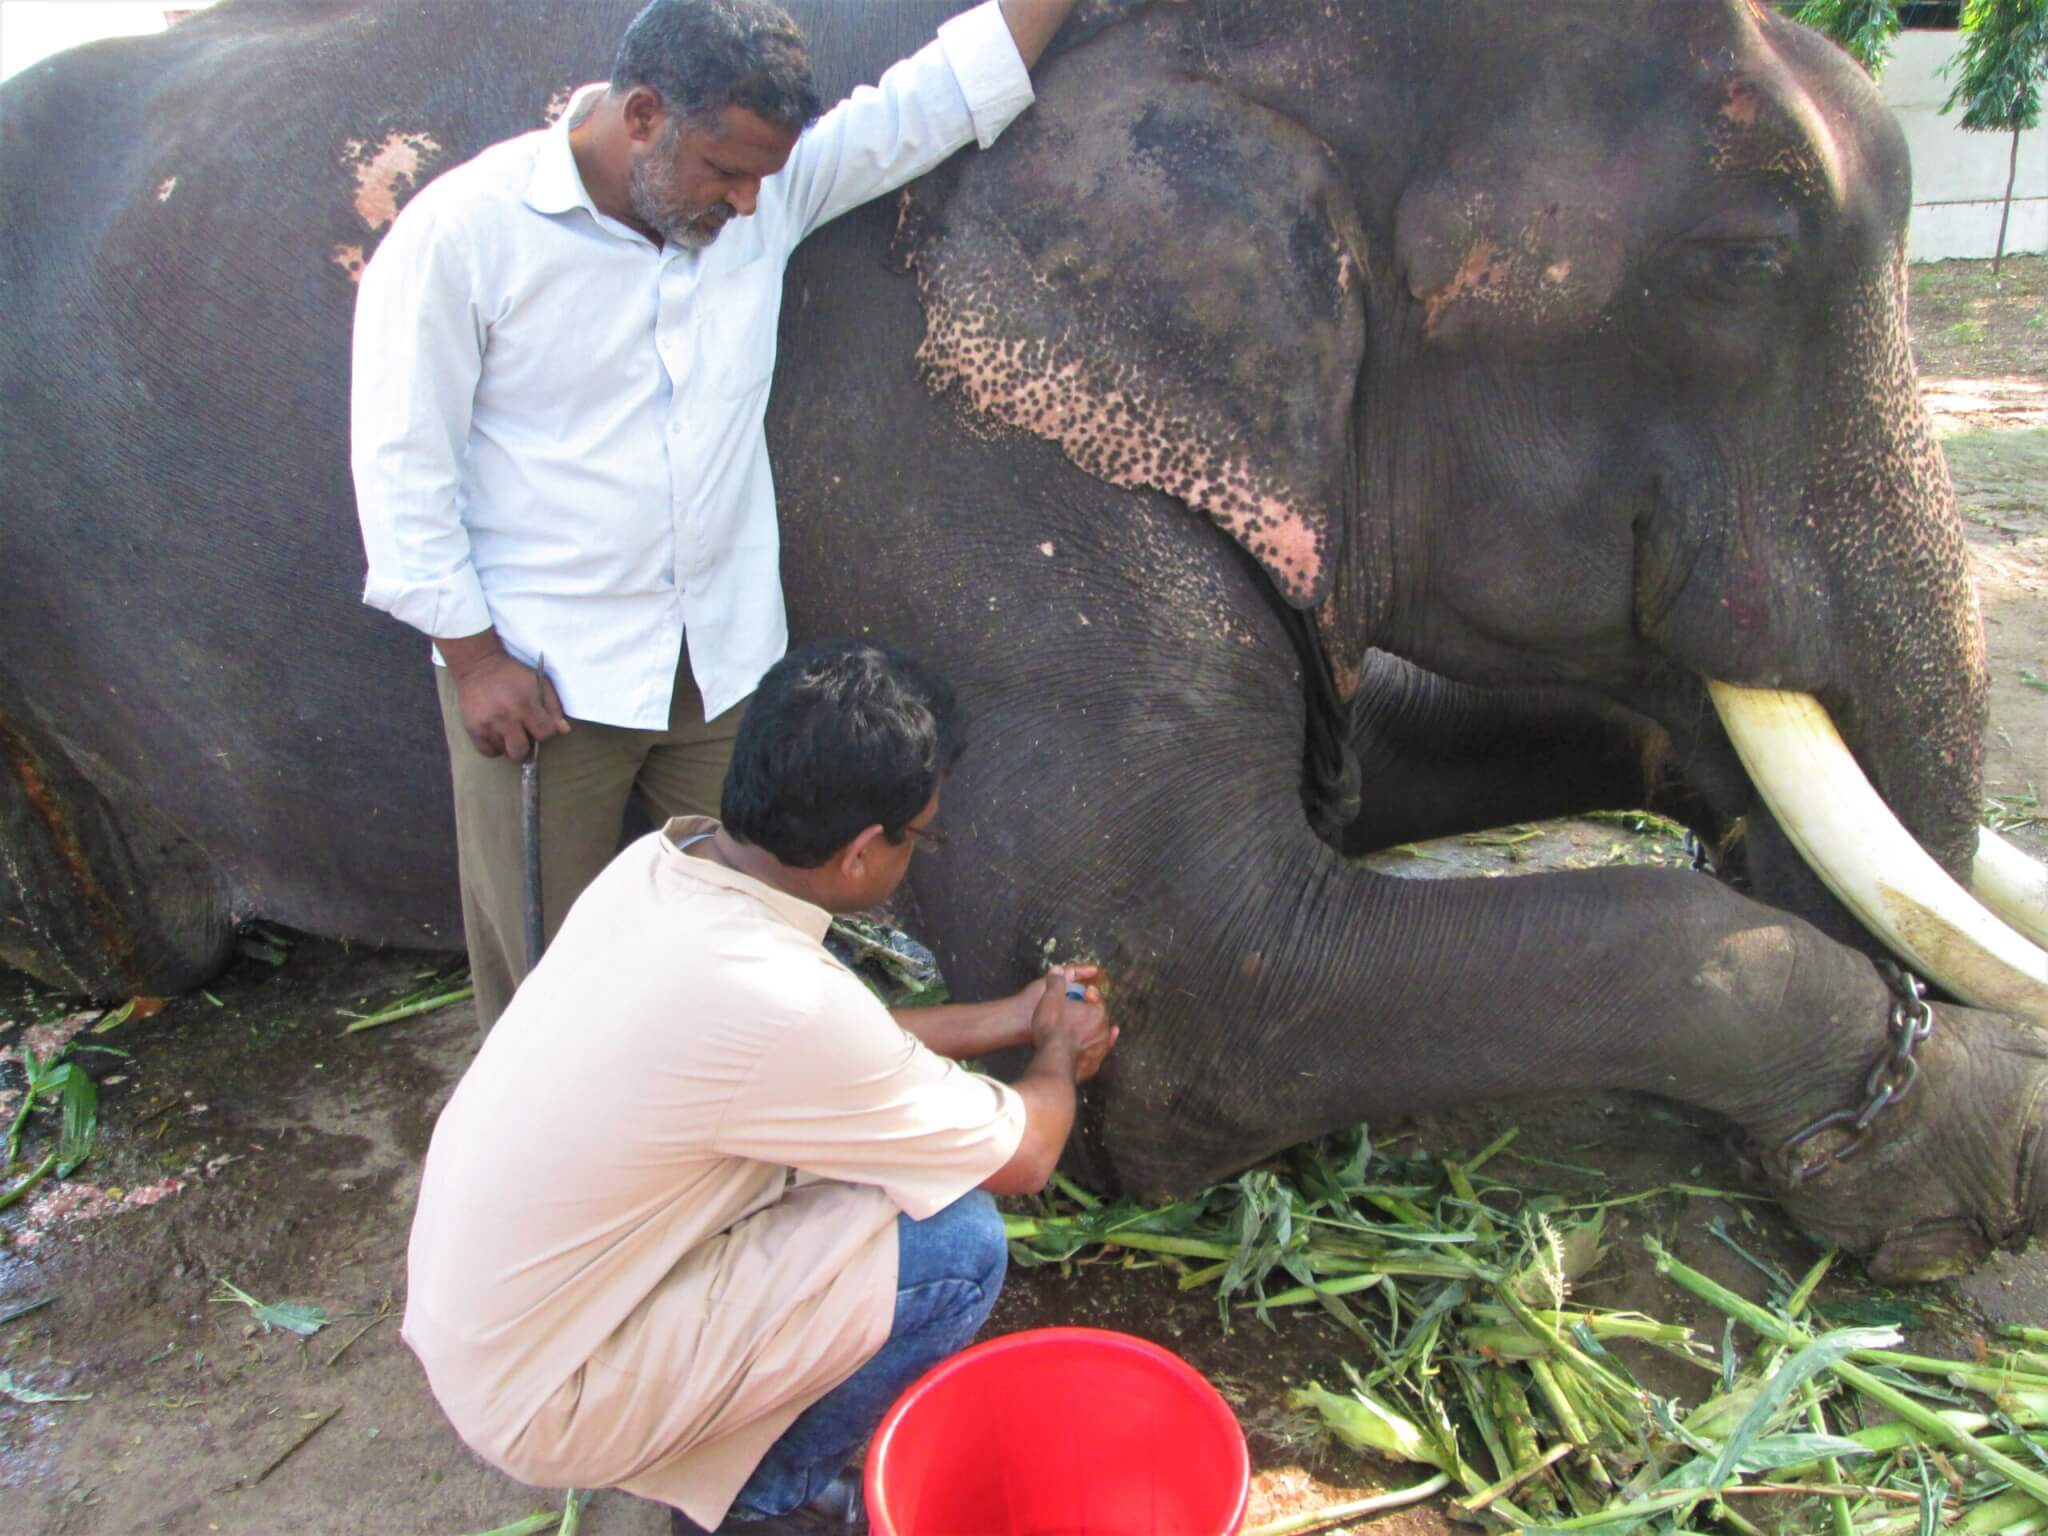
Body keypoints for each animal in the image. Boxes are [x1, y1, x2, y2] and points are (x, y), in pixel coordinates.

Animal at [4, 0, 2048, 1286]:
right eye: (1744, 257)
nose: (1758, 829)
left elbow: (1348, 766)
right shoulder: (937, 441)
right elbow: (1191, 973)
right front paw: (1971, 1152)